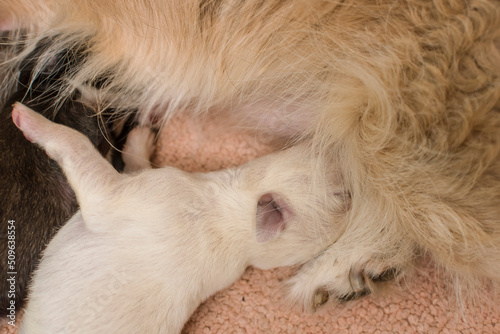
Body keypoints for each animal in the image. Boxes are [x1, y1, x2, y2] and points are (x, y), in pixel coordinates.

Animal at [11, 103, 348, 332]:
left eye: (341, 195)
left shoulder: (125, 194)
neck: (237, 228)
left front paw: (26, 117)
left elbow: (76, 145)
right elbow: (135, 162)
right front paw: (143, 137)